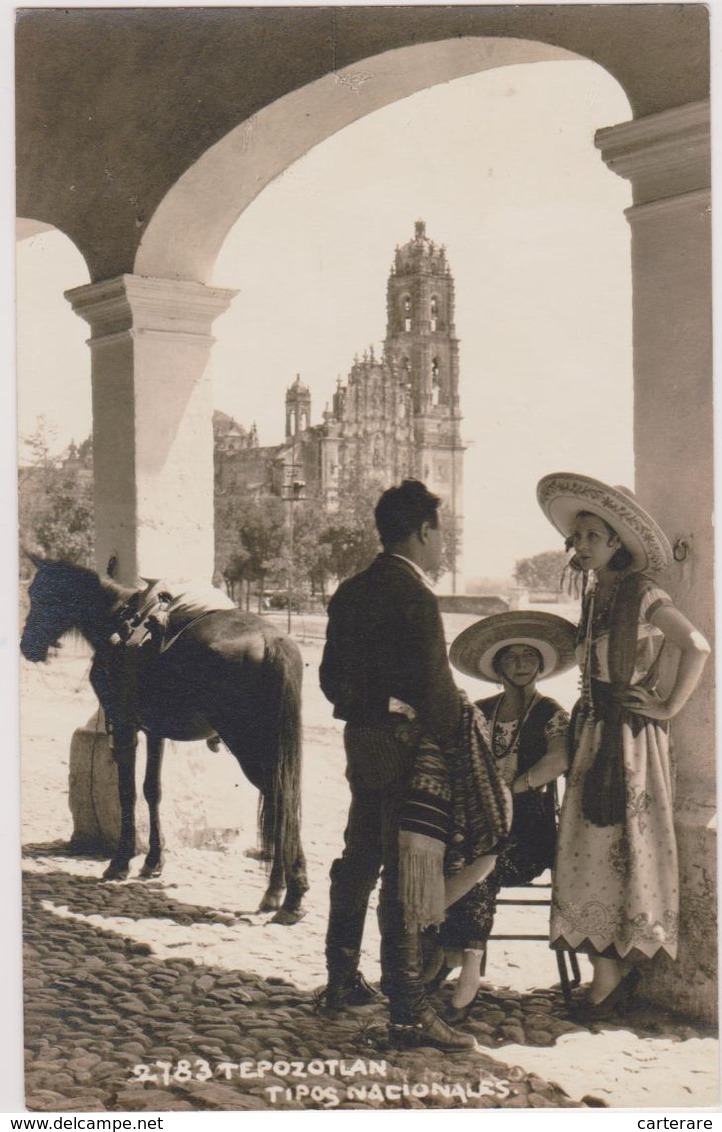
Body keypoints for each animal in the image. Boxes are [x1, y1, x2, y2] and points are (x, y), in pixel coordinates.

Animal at [19, 552, 307, 923]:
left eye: (44, 597)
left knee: (279, 799)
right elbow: (152, 790)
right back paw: (277, 892)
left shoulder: (124, 725)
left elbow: (127, 792)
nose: (27, 646)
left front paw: (120, 862)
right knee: (280, 803)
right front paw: (154, 861)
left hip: (249, 746)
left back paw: (291, 896)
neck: (117, 622)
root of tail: (273, 642)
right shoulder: (155, 731)